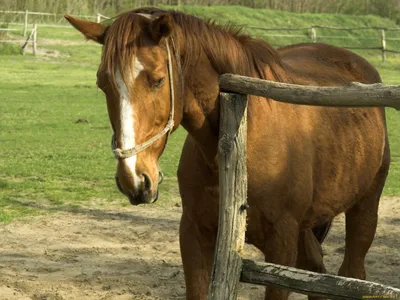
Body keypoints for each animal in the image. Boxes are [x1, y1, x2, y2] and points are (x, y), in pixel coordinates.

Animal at [65, 8, 390, 298]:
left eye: (157, 80)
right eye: (102, 83)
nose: (134, 179)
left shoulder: (281, 243)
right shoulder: (194, 233)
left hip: (364, 208)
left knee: (351, 272)